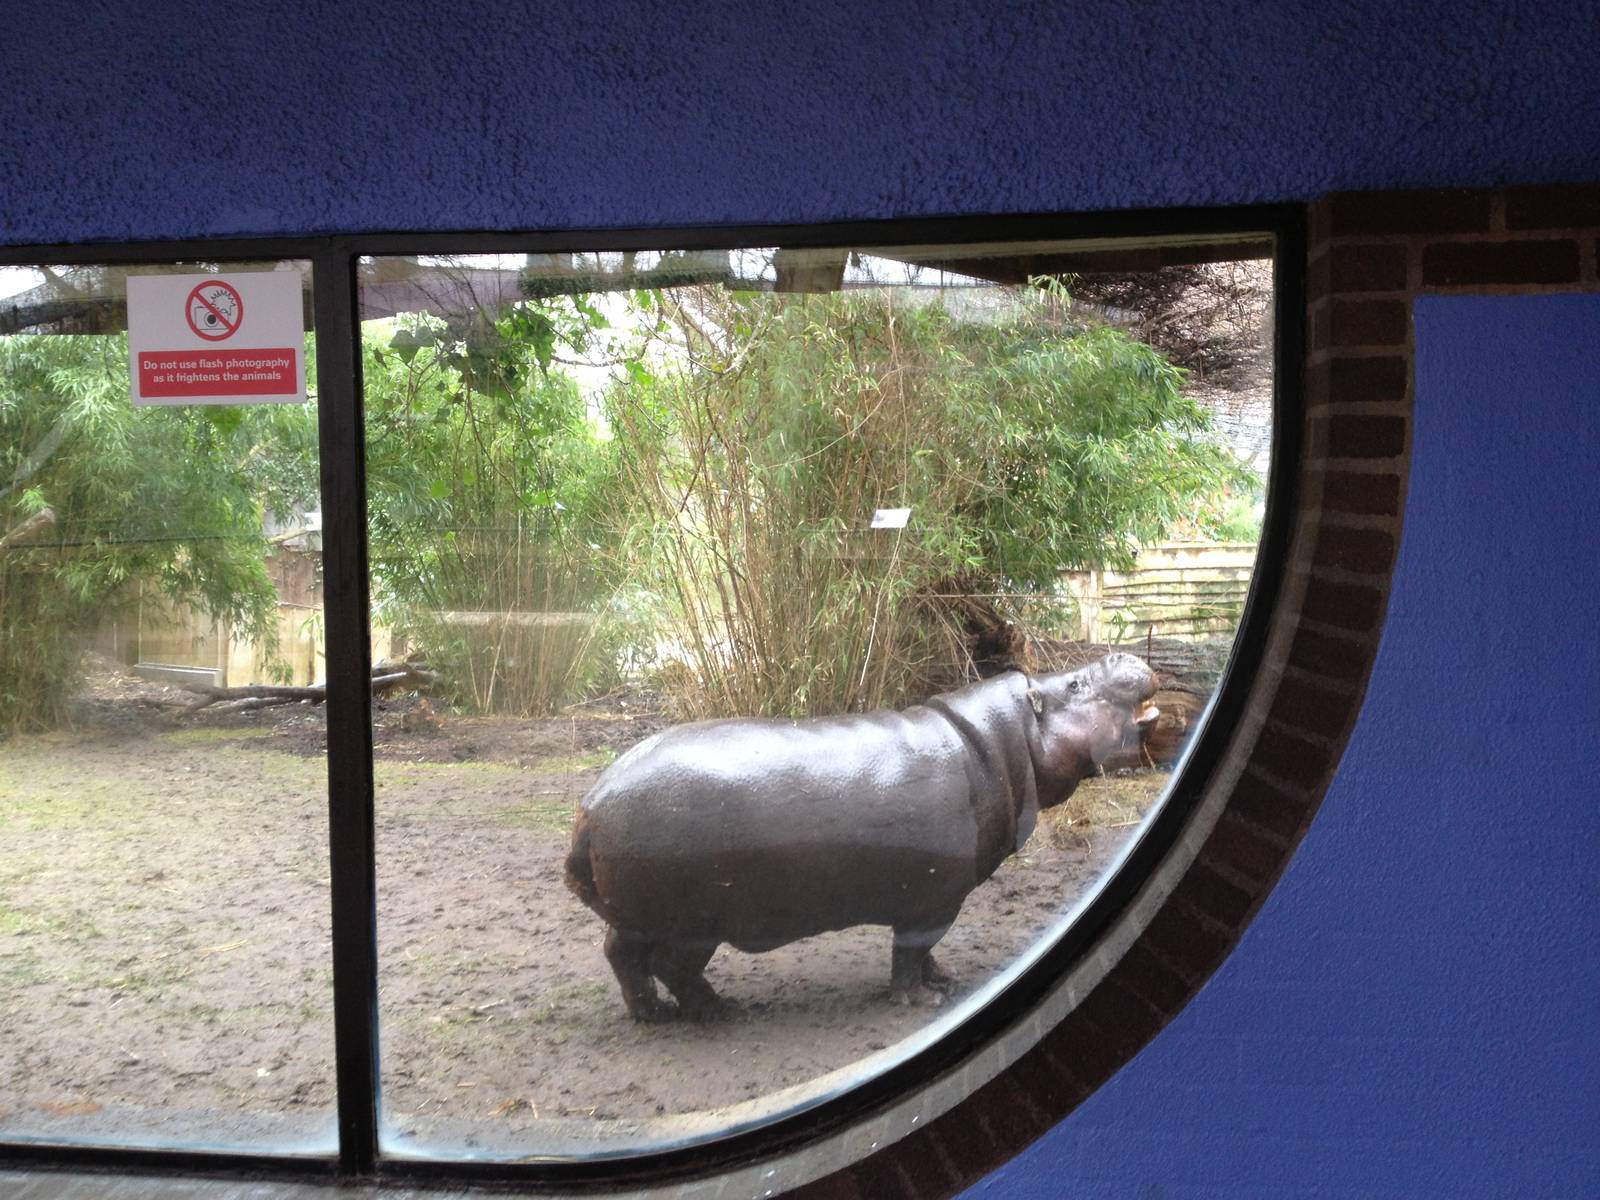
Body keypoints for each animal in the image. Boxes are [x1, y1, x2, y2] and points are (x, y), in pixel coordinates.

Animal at [564, 653, 1158, 1021]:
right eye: (1074, 684)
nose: (1122, 655)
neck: (999, 744)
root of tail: (592, 804)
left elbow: (926, 953)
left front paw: (946, 982)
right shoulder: (933, 899)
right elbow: (911, 951)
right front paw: (922, 1002)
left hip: (639, 915)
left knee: (621, 954)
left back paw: (653, 1015)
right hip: (693, 922)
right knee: (670, 966)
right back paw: (721, 1012)